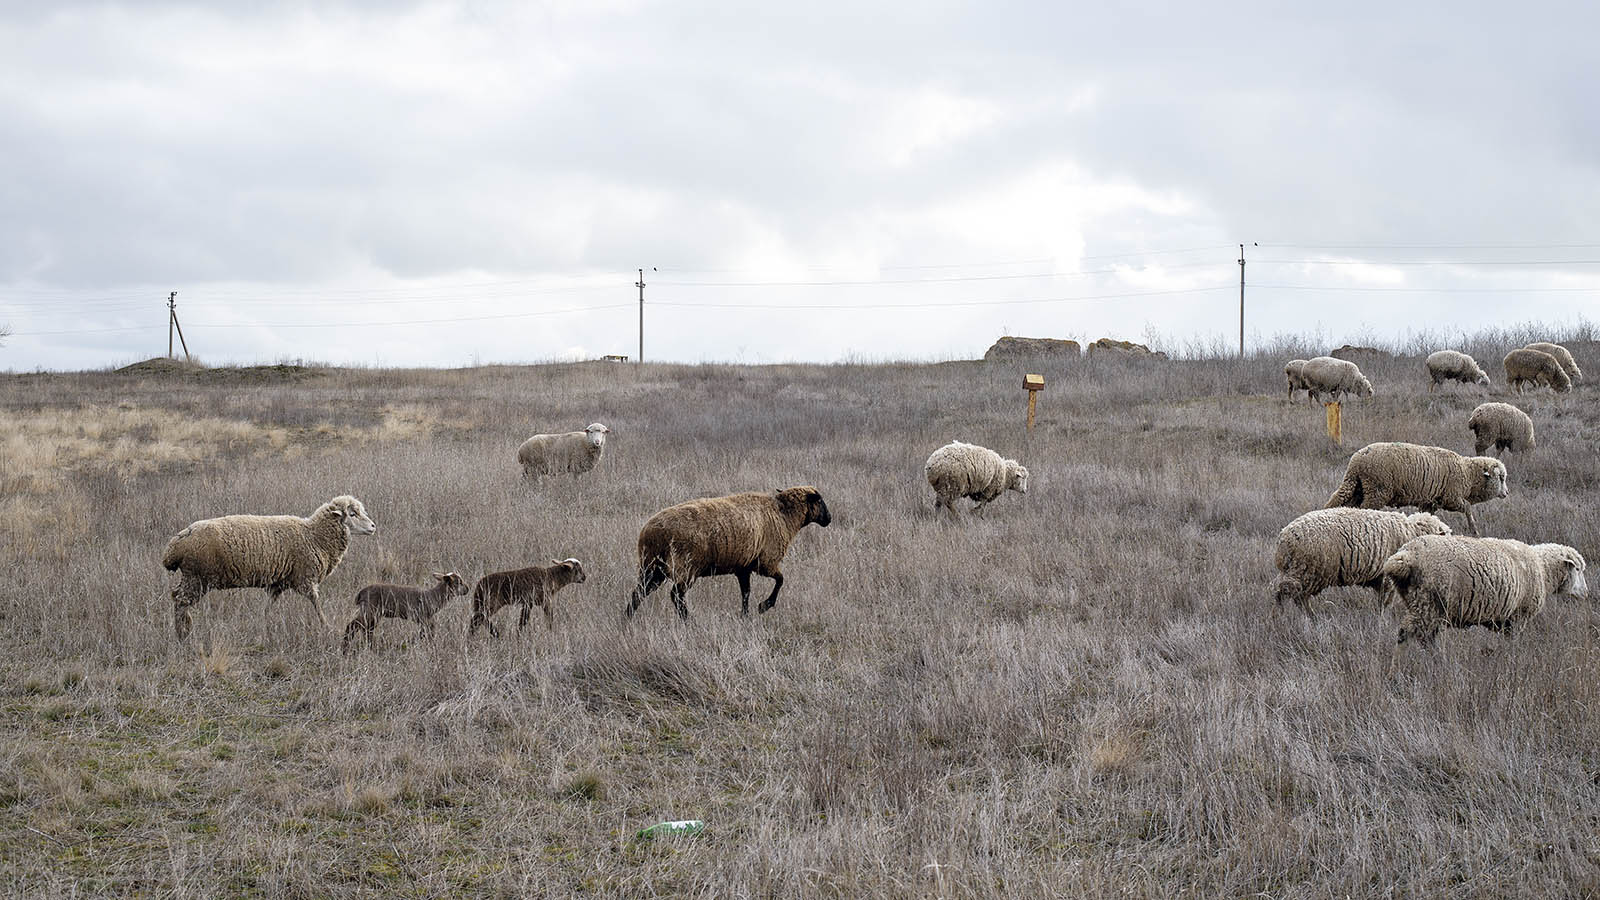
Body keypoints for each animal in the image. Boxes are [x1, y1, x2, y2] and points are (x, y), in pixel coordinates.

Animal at [160, 490, 376, 637]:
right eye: (353, 514)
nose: (373, 526)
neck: (314, 536)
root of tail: (174, 546)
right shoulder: (305, 578)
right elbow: (316, 604)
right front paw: (326, 626)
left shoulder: (277, 584)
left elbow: (267, 607)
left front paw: (261, 624)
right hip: (198, 578)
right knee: (180, 601)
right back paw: (183, 634)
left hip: (191, 577)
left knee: (176, 597)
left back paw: (183, 630)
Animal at [624, 483, 832, 614]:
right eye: (819, 500)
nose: (829, 519)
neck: (784, 515)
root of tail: (651, 533)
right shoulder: (766, 562)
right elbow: (780, 580)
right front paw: (764, 606)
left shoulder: (743, 567)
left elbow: (746, 592)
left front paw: (745, 615)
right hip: (685, 567)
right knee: (676, 596)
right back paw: (688, 622)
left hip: (652, 567)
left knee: (639, 593)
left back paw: (627, 618)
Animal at [1267, 509, 1459, 605]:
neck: (1412, 532)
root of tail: (1284, 539)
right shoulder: (1387, 577)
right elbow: (1385, 602)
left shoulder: (1379, 578)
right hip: (1308, 570)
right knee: (1293, 594)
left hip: (1294, 570)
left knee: (1280, 589)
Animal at [1331, 438, 1504, 534]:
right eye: (1501, 477)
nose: (1506, 493)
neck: (1468, 473)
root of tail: (1357, 461)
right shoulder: (1452, 498)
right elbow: (1468, 508)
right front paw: (1474, 531)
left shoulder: (1430, 502)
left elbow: (1428, 516)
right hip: (1376, 490)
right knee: (1364, 508)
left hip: (1358, 487)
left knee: (1342, 502)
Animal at [1376, 531, 1587, 650]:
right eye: (1578, 569)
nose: (1586, 592)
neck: (1543, 569)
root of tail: (1405, 555)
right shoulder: (1519, 618)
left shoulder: (1506, 622)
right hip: (1428, 603)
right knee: (1409, 634)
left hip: (1419, 603)